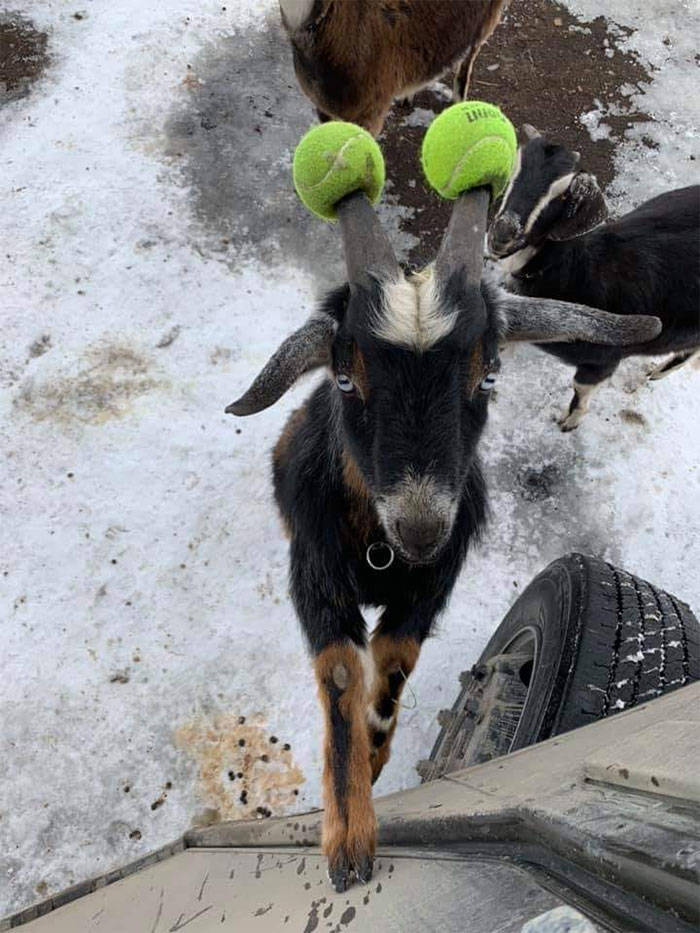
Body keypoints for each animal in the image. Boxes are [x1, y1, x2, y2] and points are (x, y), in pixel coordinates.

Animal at [228, 180, 660, 888]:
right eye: (345, 378)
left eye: (488, 375)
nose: (422, 528)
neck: (380, 553)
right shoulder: (316, 576)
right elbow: (342, 675)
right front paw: (348, 843)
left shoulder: (429, 589)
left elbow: (394, 668)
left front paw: (377, 758)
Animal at [486, 124, 700, 430]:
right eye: (514, 171)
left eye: (564, 195)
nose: (503, 234)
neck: (578, 270)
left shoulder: (604, 360)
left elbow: (581, 390)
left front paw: (567, 424)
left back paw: (655, 373)